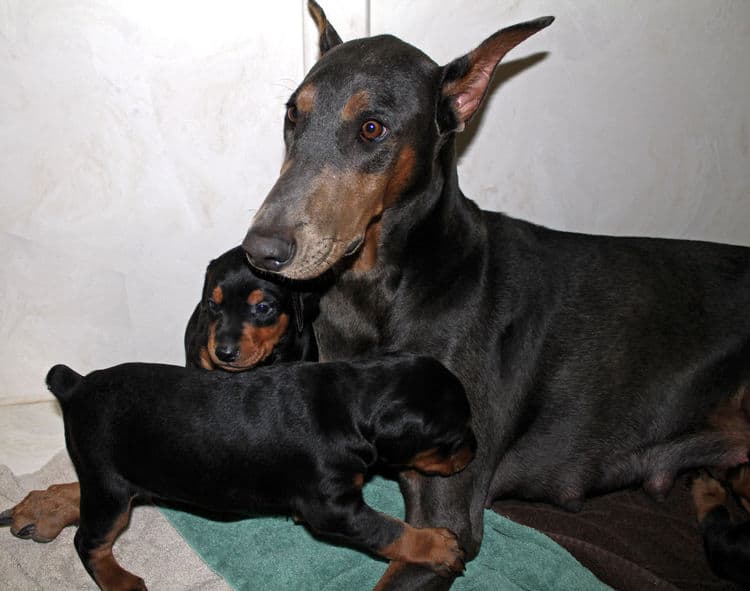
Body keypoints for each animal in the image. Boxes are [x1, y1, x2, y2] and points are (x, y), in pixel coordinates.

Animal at [45, 356, 476, 591]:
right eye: (451, 440)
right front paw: (436, 545)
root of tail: (76, 386)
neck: (349, 400)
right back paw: (120, 580)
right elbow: (387, 529)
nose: (474, 452)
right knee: (88, 542)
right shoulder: (333, 507)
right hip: (110, 489)